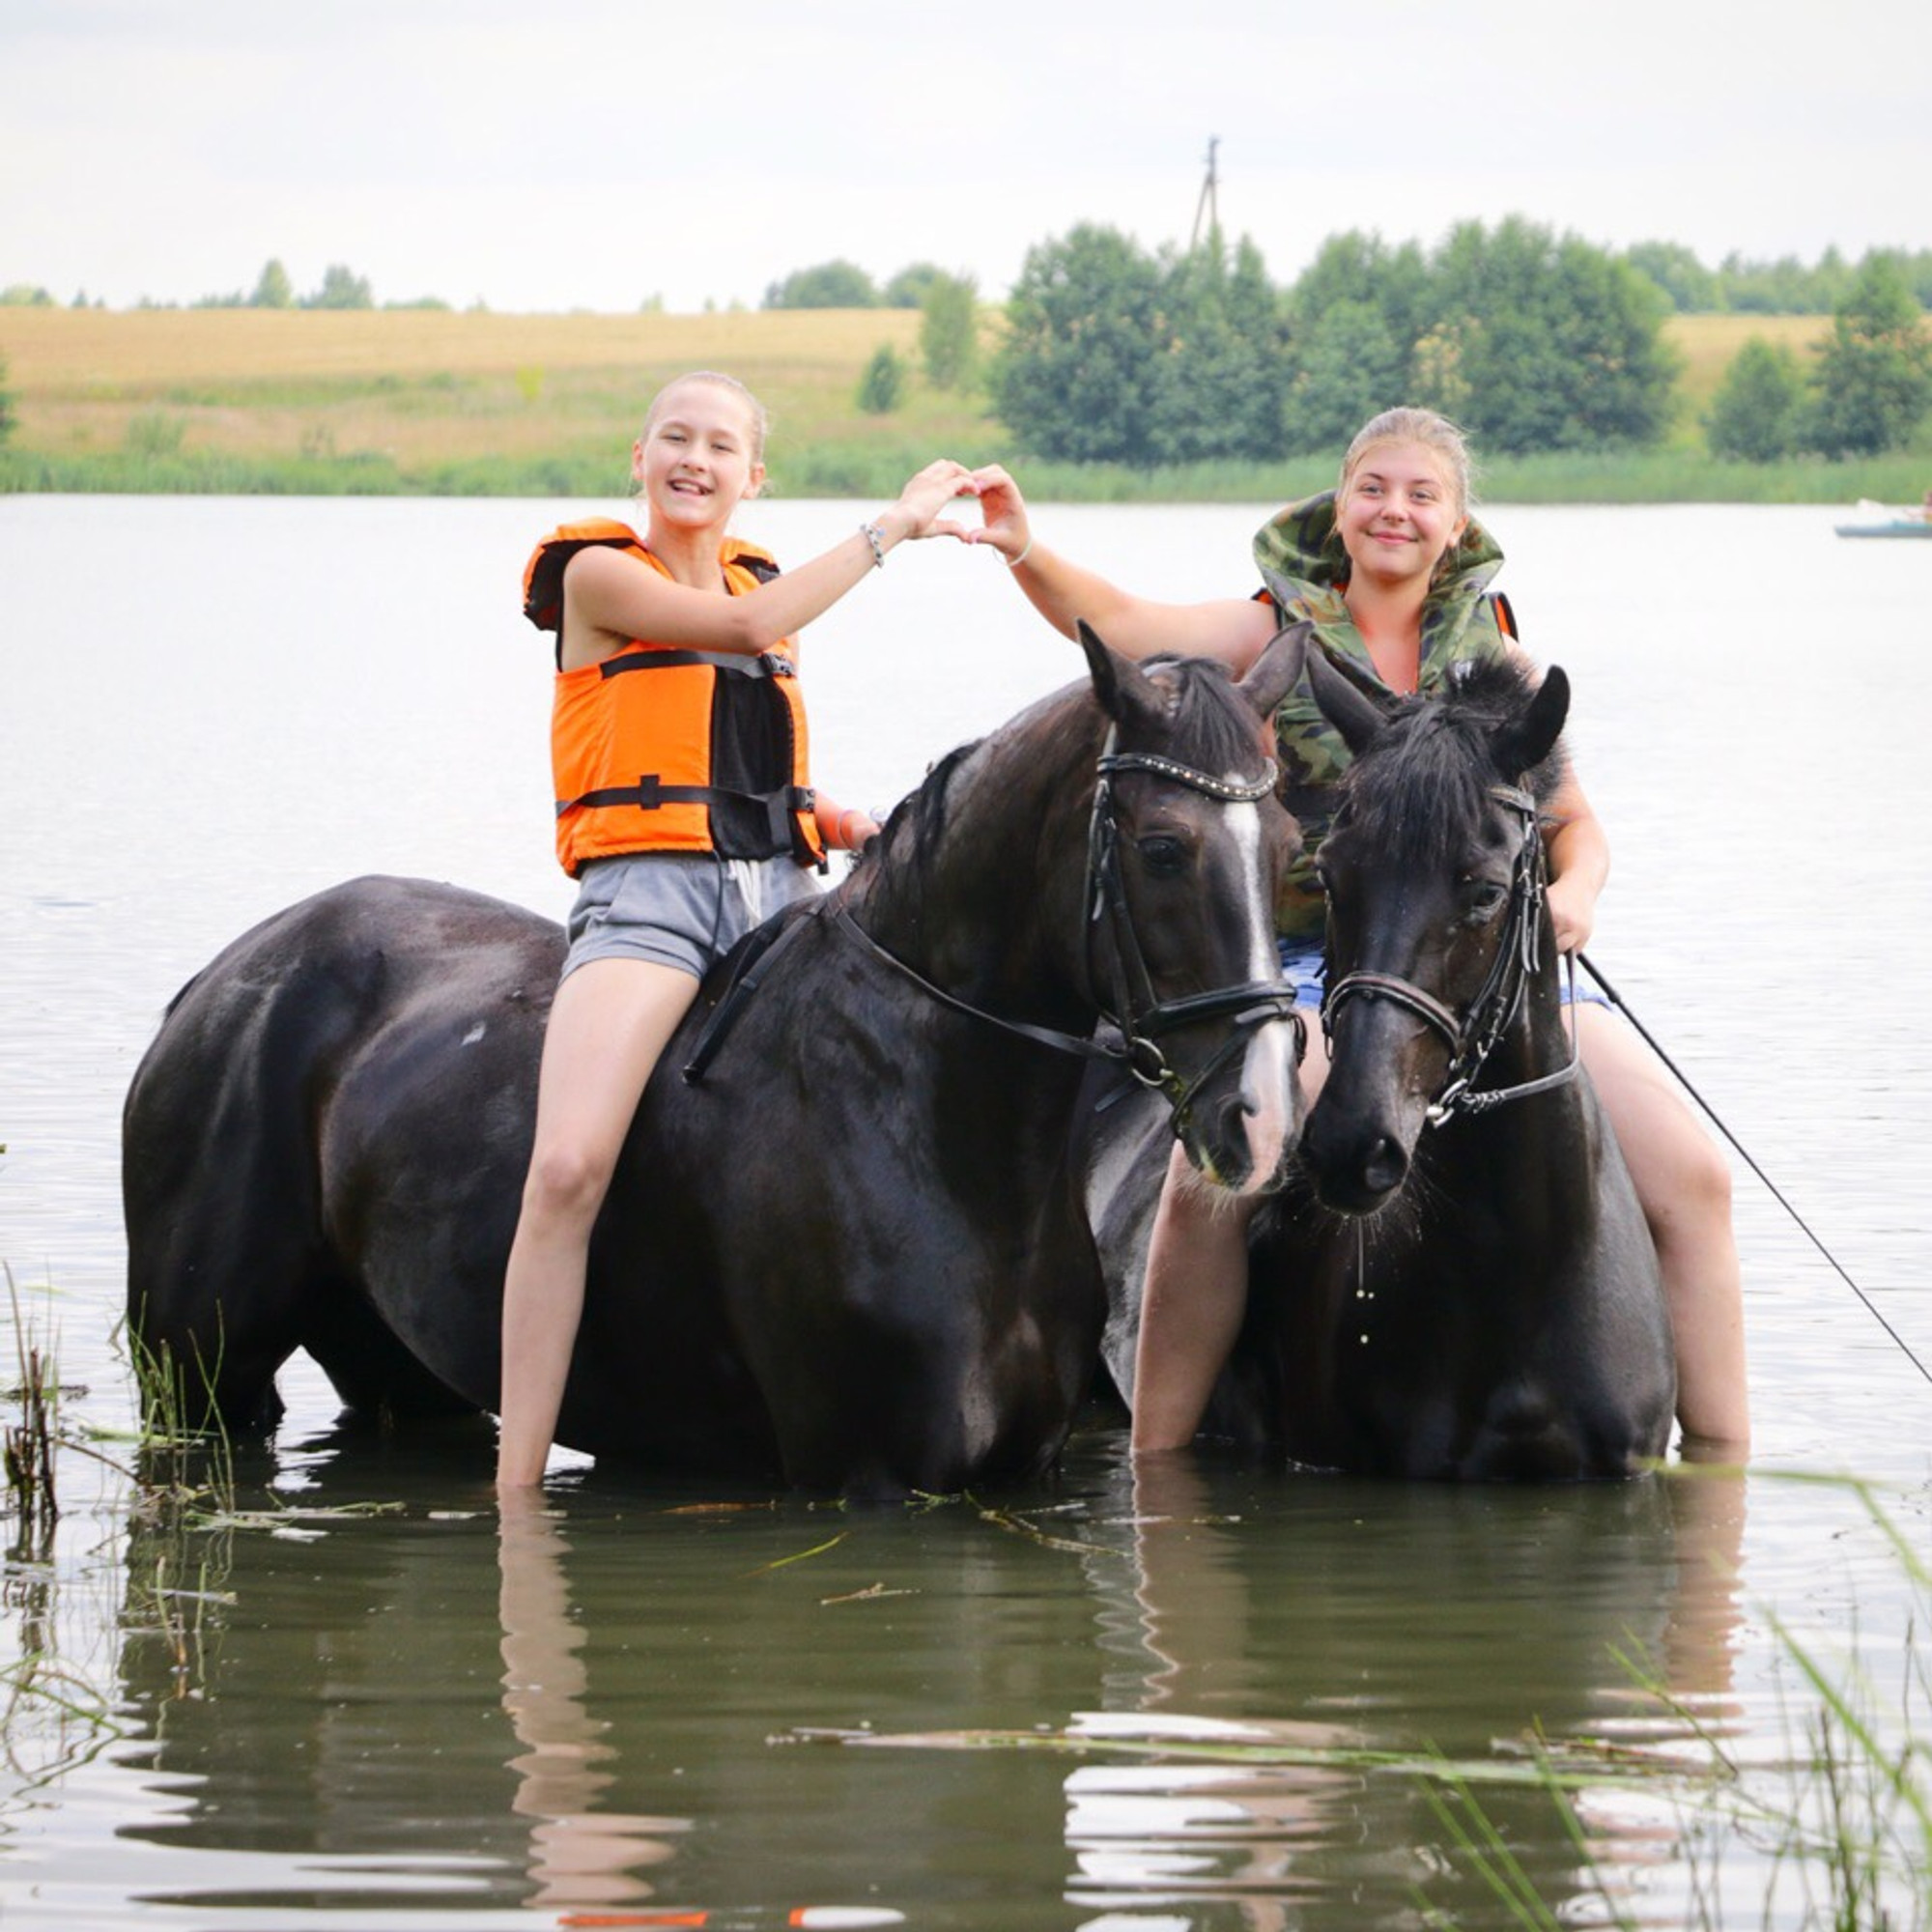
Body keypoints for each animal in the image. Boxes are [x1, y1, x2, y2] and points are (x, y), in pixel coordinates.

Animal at [125, 630, 1314, 1492]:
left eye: (1292, 849)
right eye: (1162, 849)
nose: (1260, 1117)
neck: (931, 1118)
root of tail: (225, 976)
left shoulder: (1019, 1464)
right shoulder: (874, 1478)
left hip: (398, 1373)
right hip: (196, 1374)